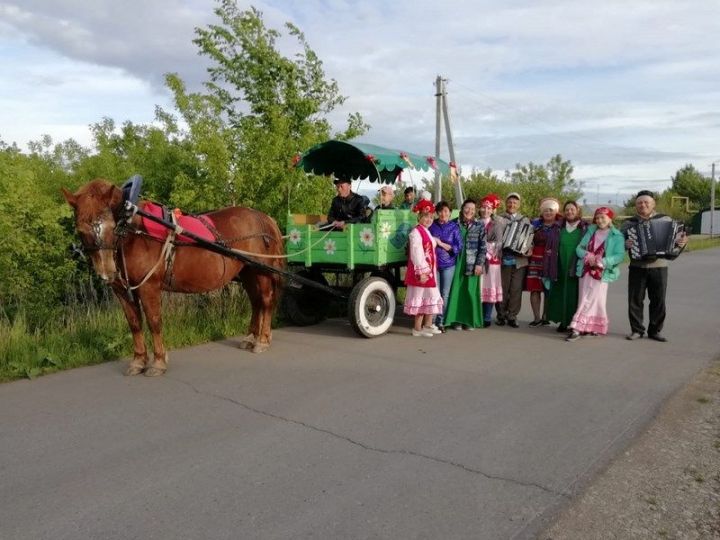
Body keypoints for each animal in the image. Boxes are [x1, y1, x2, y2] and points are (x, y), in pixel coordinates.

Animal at [62, 179, 286, 378]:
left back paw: (262, 340)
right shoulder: (122, 291)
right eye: (81, 229)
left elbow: (154, 321)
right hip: (247, 272)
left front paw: (158, 362)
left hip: (260, 271)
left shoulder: (149, 287)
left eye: (111, 225)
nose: (107, 272)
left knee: (265, 301)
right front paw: (138, 361)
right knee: (255, 302)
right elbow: (134, 323)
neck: (134, 232)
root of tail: (264, 218)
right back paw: (250, 337)